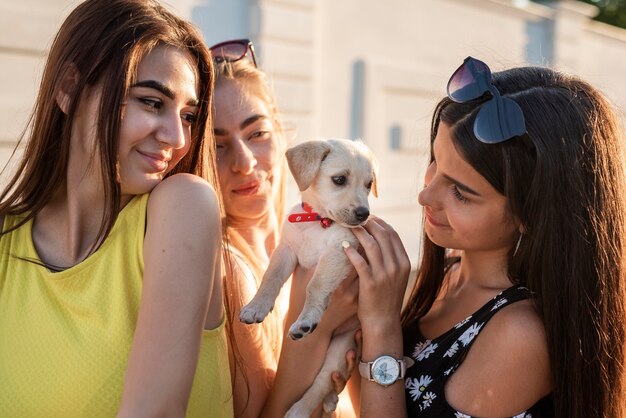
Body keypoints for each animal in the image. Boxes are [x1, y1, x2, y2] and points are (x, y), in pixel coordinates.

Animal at [238, 138, 376, 418]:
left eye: (369, 184)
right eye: (339, 180)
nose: (364, 214)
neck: (318, 222)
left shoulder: (340, 251)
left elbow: (316, 285)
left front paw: (306, 319)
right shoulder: (287, 249)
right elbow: (270, 278)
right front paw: (255, 307)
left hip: (340, 346)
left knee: (322, 381)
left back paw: (300, 409)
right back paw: (329, 402)